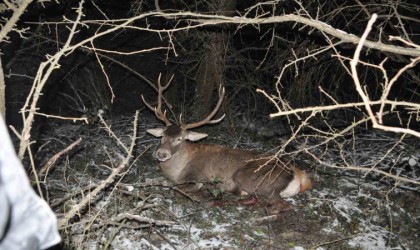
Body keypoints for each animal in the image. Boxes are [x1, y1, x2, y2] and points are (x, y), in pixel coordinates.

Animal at [143, 79, 310, 214]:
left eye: (179, 139)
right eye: (162, 135)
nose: (161, 153)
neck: (176, 171)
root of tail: (299, 176)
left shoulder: (196, 175)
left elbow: (177, 188)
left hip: (250, 178)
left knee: (280, 204)